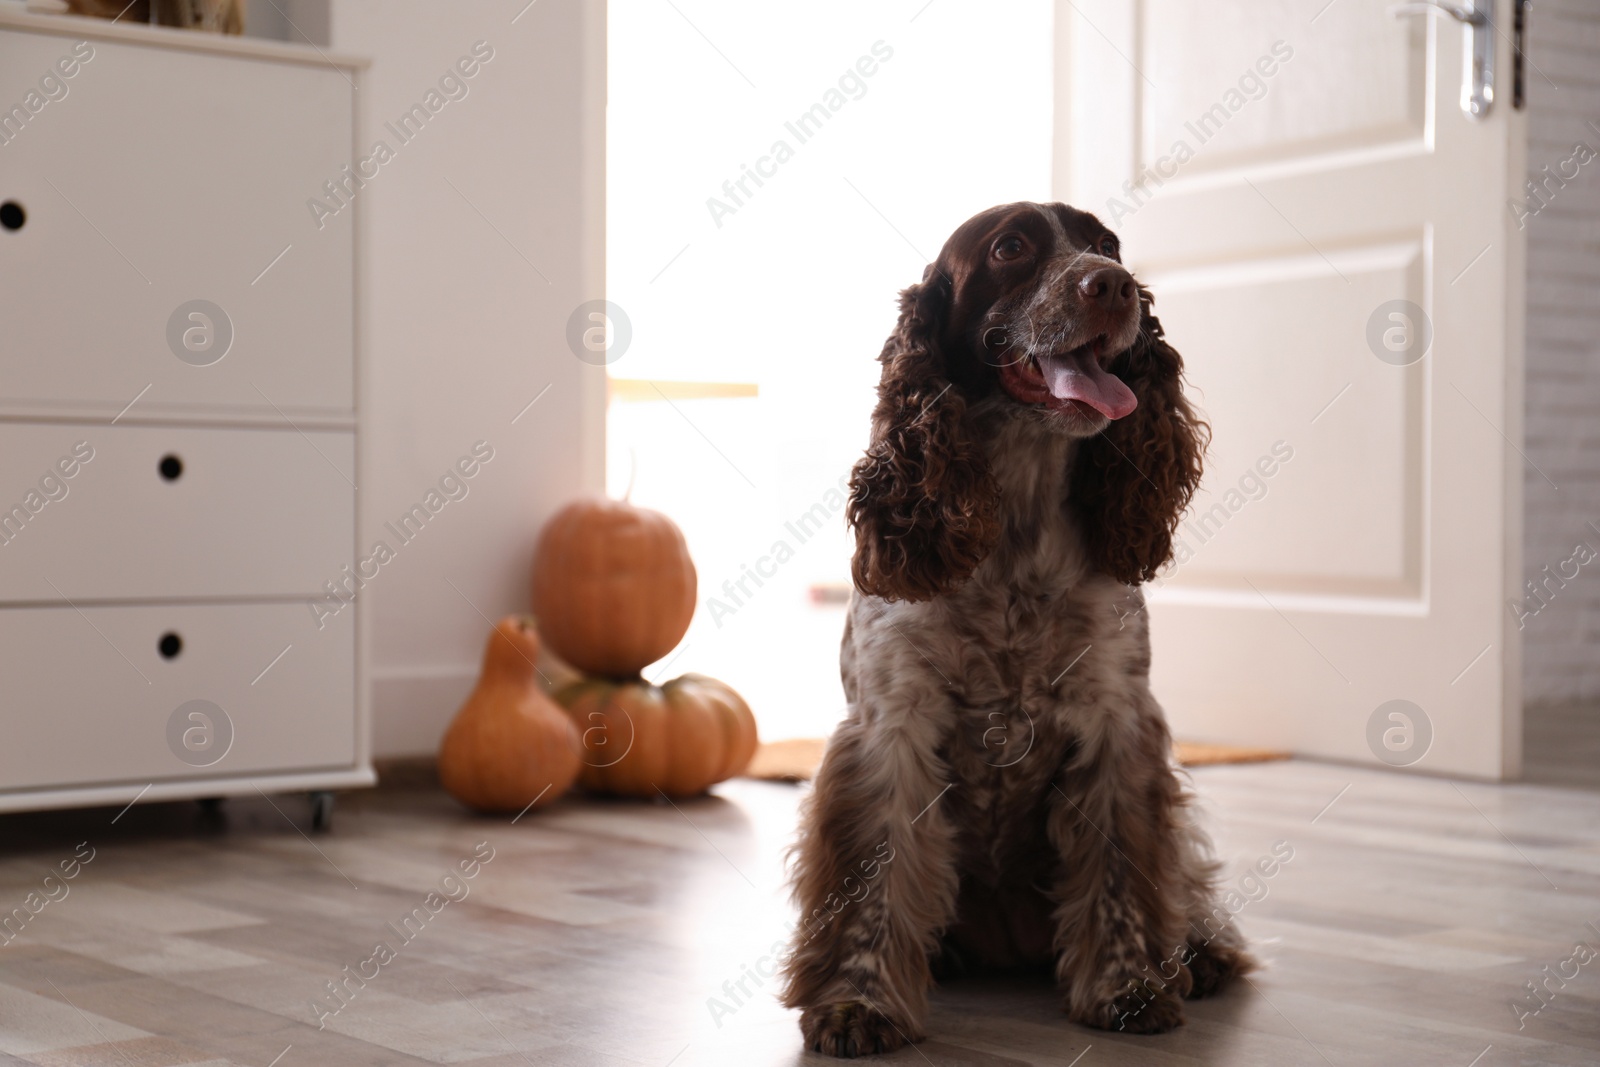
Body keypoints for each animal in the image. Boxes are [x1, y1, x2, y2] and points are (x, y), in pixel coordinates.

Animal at [780, 202, 1254, 1062]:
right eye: (1011, 248)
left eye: (1106, 245)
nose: (1113, 285)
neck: (1016, 528)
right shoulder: (888, 727)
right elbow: (872, 878)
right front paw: (858, 1002)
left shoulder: (1118, 722)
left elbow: (1121, 866)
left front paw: (1130, 984)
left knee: (1186, 877)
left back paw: (1200, 952)